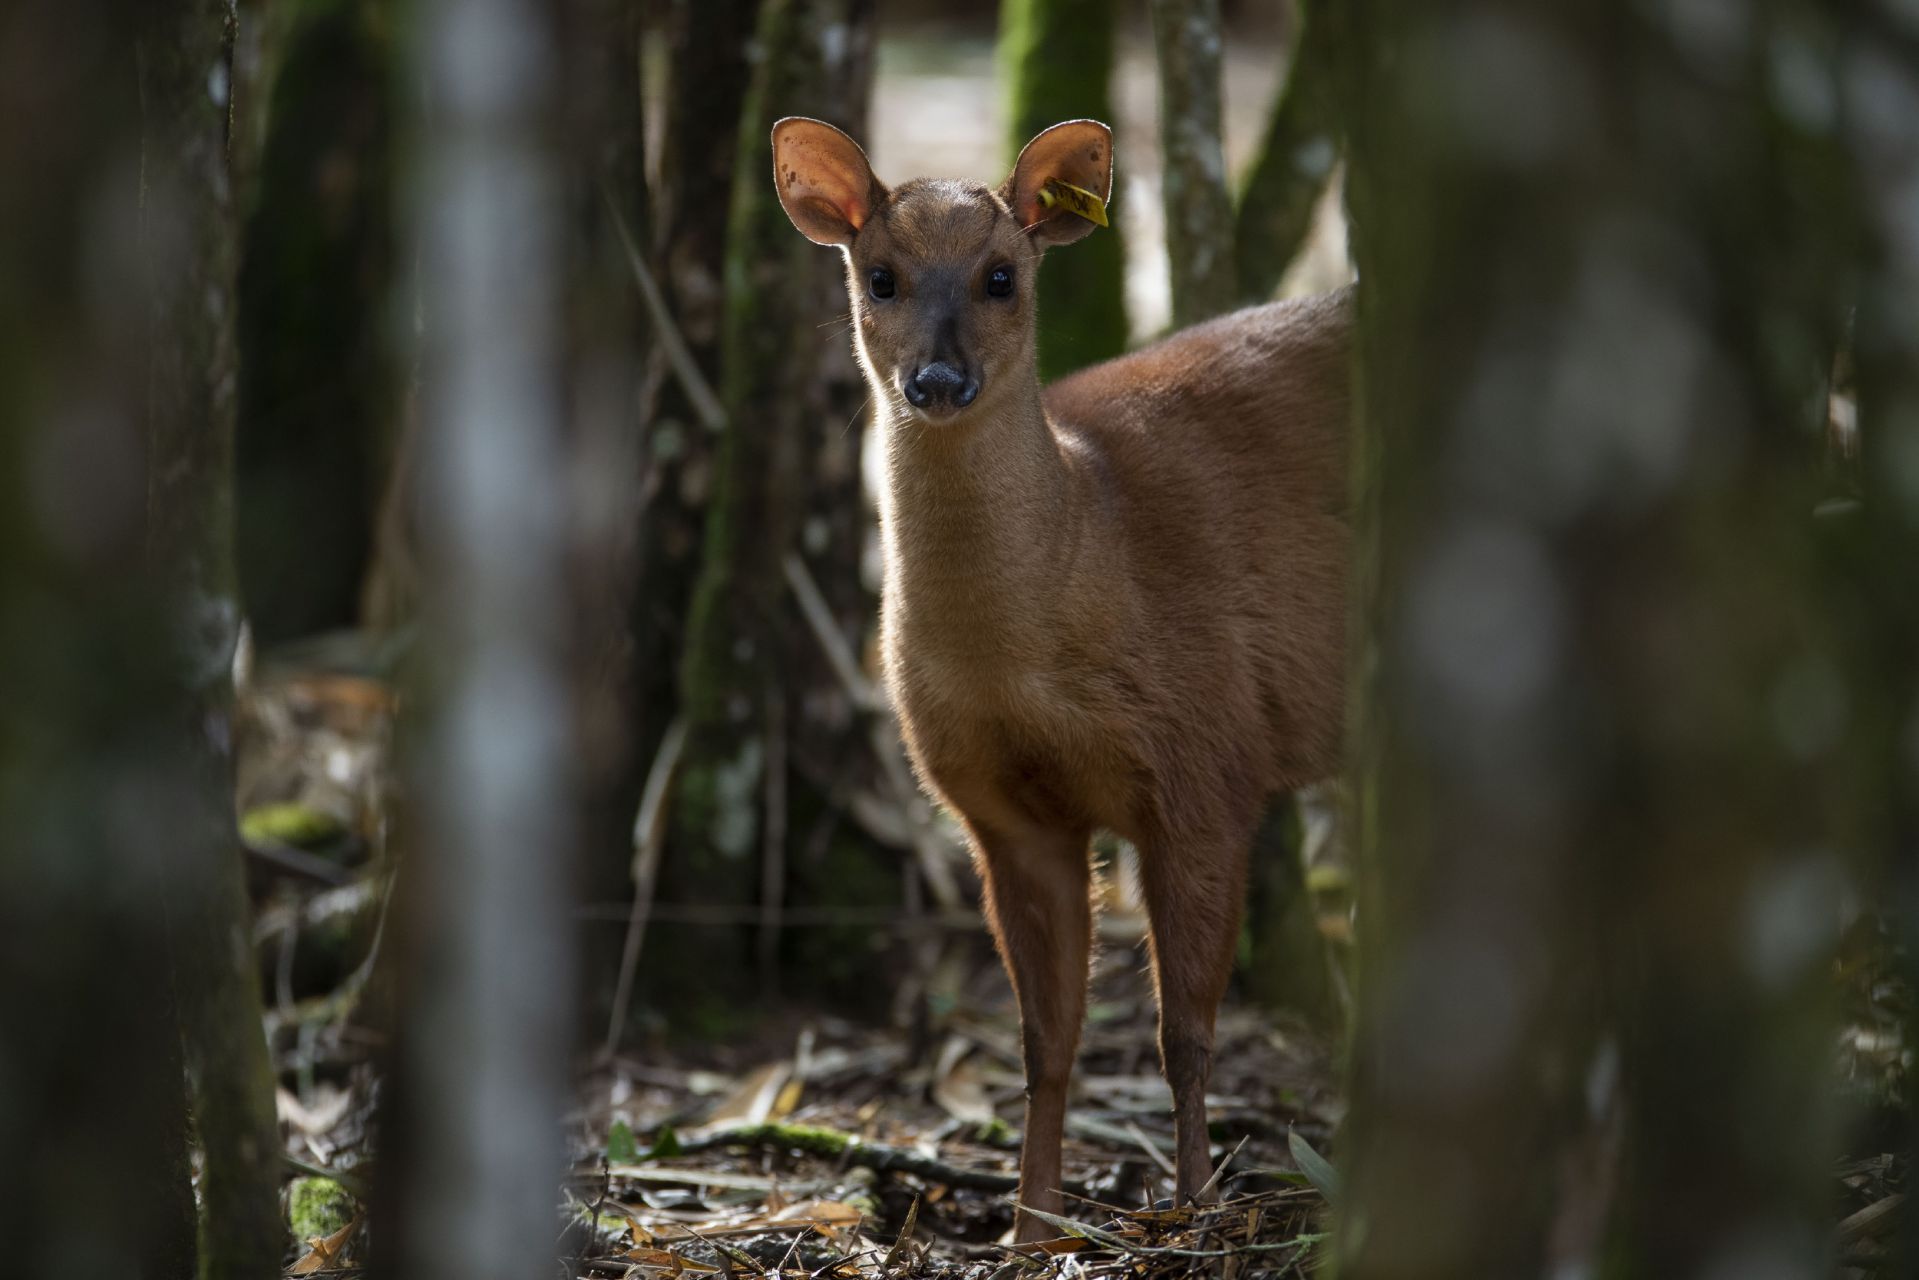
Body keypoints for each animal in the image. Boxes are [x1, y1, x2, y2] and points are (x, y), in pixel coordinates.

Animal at [771, 112, 1358, 1243]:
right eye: (879, 275)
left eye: (1002, 276)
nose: (936, 381)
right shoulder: (1001, 812)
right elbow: (1043, 1039)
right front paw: (1030, 1224)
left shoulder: (1206, 762)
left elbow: (1185, 1032)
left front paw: (1192, 1208)